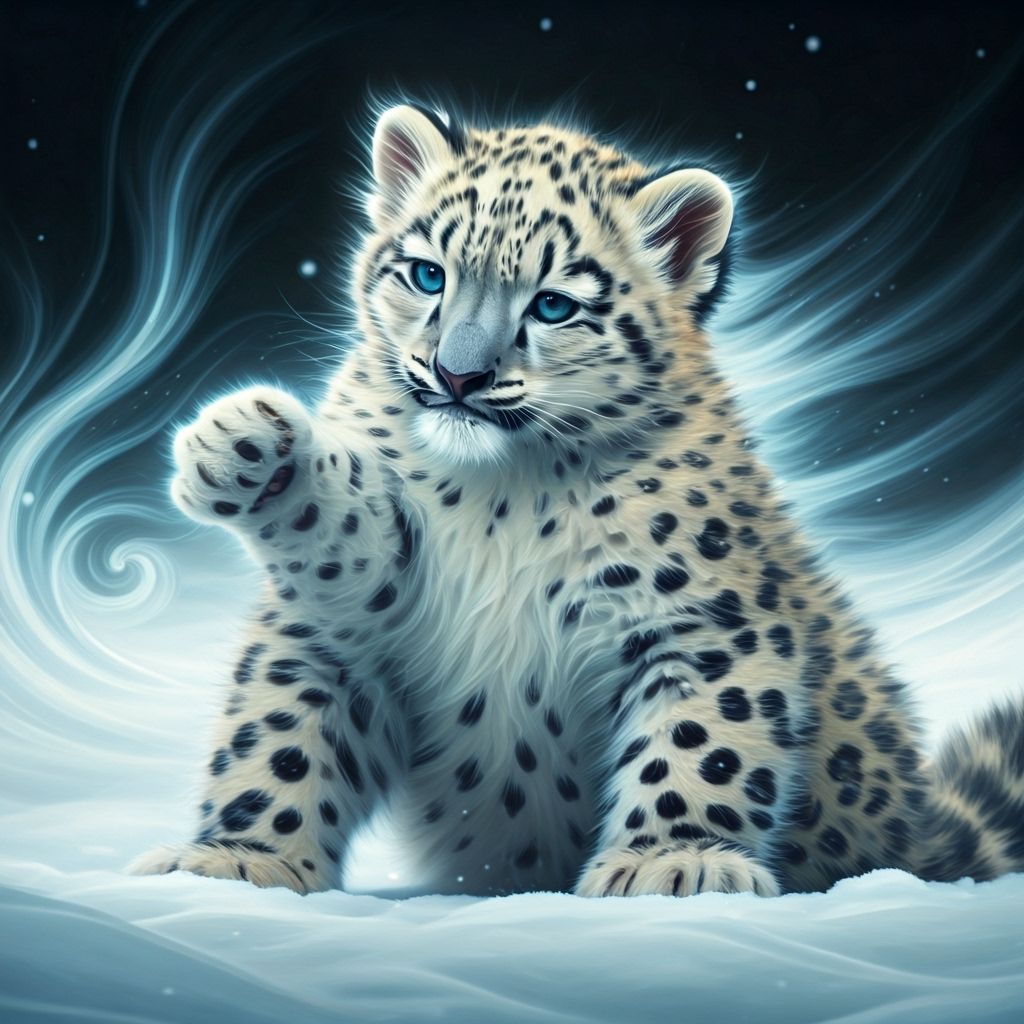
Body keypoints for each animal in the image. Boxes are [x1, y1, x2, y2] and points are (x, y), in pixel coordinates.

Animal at [131, 105, 1024, 898]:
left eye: (553, 304)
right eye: (428, 273)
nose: (458, 376)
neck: (499, 496)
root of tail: (926, 824)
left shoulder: (702, 620)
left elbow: (703, 740)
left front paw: (674, 861)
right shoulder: (371, 600)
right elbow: (282, 737)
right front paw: (238, 861)